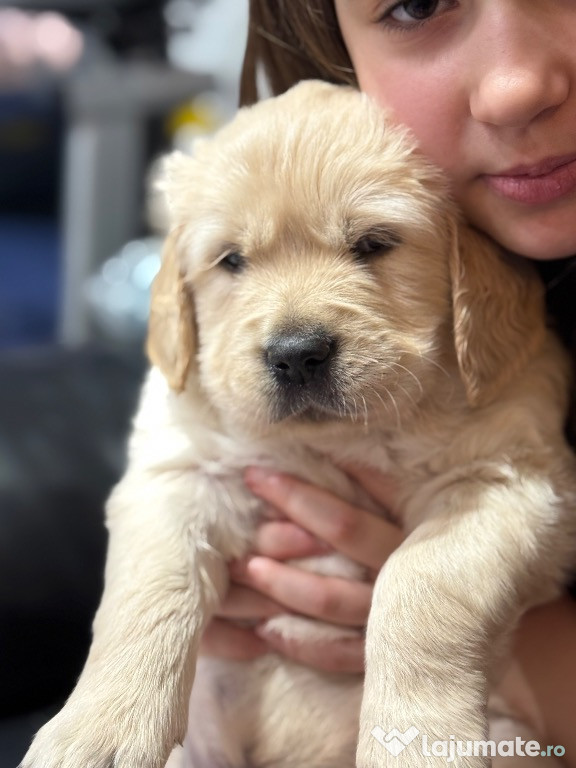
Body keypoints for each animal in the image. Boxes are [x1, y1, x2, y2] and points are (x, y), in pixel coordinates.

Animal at [23, 81, 576, 768]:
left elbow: (418, 583)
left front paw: (416, 740)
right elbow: (149, 592)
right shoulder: (180, 471)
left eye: (373, 244)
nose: (296, 354)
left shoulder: (511, 480)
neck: (336, 438)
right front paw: (96, 732)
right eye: (232, 261)